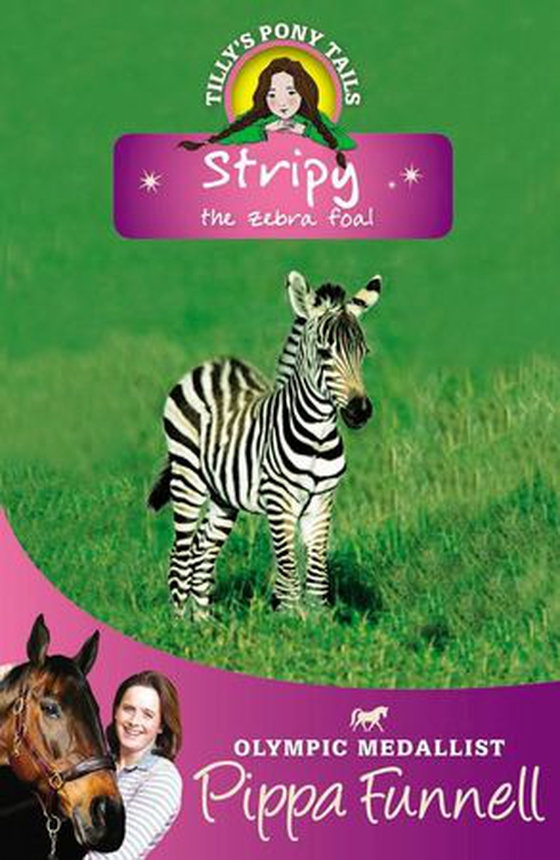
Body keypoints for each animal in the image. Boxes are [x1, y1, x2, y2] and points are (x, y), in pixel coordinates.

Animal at [148, 270, 383, 617]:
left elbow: (317, 574)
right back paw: (178, 622)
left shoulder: (322, 500)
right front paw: (289, 621)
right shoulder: (279, 499)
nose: (360, 411)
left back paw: (202, 622)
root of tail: (212, 364)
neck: (318, 436)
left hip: (223, 496)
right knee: (180, 554)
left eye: (364, 352)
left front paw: (317, 621)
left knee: (201, 551)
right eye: (325, 352)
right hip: (188, 478)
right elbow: (288, 570)